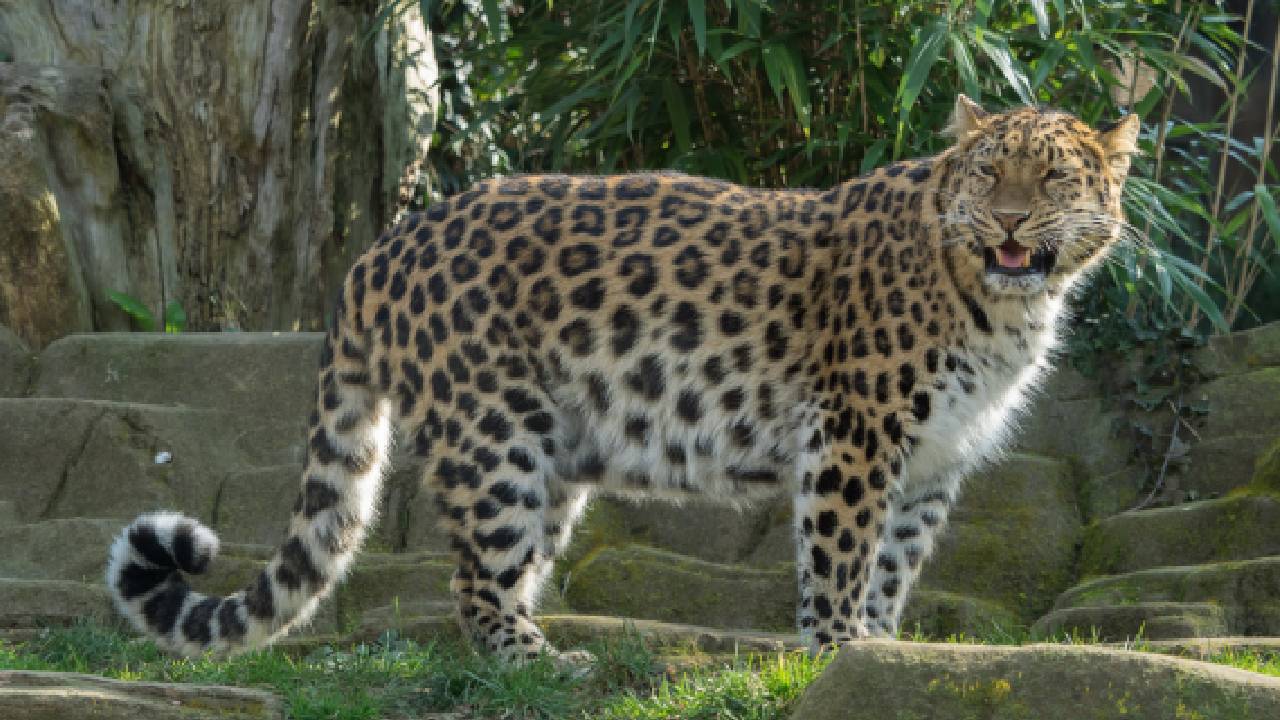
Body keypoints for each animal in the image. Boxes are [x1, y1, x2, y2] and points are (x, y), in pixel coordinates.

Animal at [106, 95, 1140, 664]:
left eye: (1053, 181)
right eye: (989, 173)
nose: (1009, 223)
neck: (1005, 307)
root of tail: (381, 249)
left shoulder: (931, 459)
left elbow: (894, 561)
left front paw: (878, 655)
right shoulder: (855, 436)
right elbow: (842, 556)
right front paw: (839, 650)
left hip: (554, 452)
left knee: (506, 570)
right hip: (494, 436)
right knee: (473, 582)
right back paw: (541, 666)